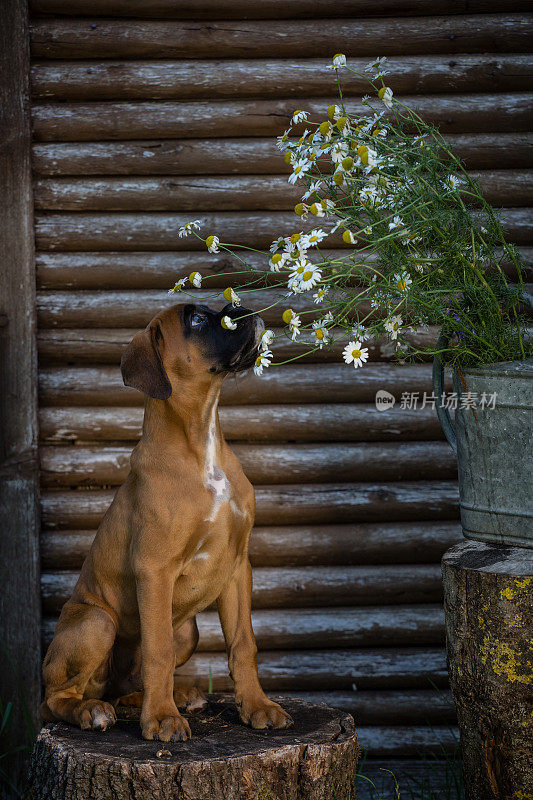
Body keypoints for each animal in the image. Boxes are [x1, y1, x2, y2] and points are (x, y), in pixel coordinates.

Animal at [41, 304, 290, 740]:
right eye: (196, 320)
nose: (242, 308)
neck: (201, 443)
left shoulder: (237, 566)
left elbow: (243, 644)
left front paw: (258, 706)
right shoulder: (154, 570)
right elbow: (158, 652)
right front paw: (161, 718)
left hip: (186, 630)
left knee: (127, 686)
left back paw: (171, 697)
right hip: (97, 621)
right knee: (58, 698)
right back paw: (94, 711)